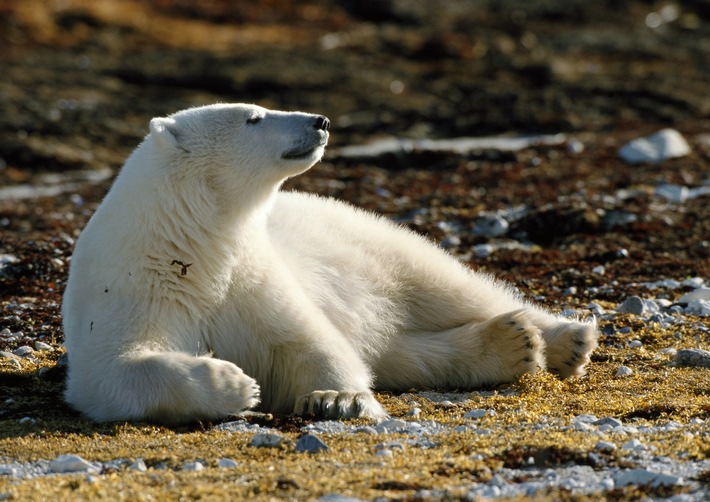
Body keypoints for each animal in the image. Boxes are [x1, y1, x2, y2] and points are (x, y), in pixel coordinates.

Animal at [61, 103, 596, 424]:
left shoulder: (251, 277)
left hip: (369, 241)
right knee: (404, 351)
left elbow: (311, 341)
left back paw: (565, 338)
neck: (193, 247)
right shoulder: (132, 288)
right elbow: (114, 371)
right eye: (253, 117)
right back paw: (512, 343)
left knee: (445, 286)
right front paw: (235, 383)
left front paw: (336, 399)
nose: (319, 120)